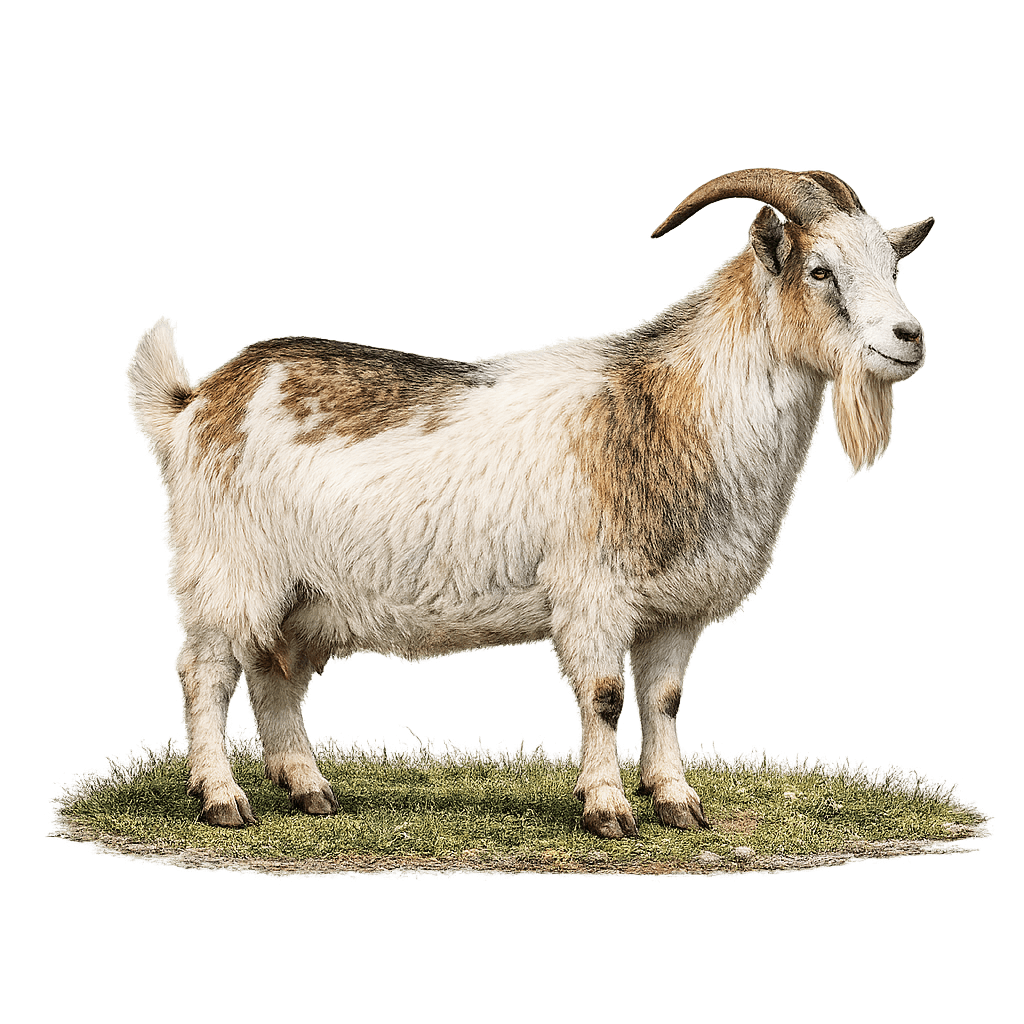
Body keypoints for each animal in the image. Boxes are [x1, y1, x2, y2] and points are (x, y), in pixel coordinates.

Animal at [126, 167, 933, 838]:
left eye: (894, 269)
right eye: (821, 270)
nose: (909, 337)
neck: (674, 405)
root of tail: (195, 402)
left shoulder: (677, 608)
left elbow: (664, 700)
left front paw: (676, 802)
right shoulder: (595, 590)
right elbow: (605, 696)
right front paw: (607, 810)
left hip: (302, 594)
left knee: (276, 677)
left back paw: (307, 788)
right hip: (227, 572)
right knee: (205, 672)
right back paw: (223, 799)